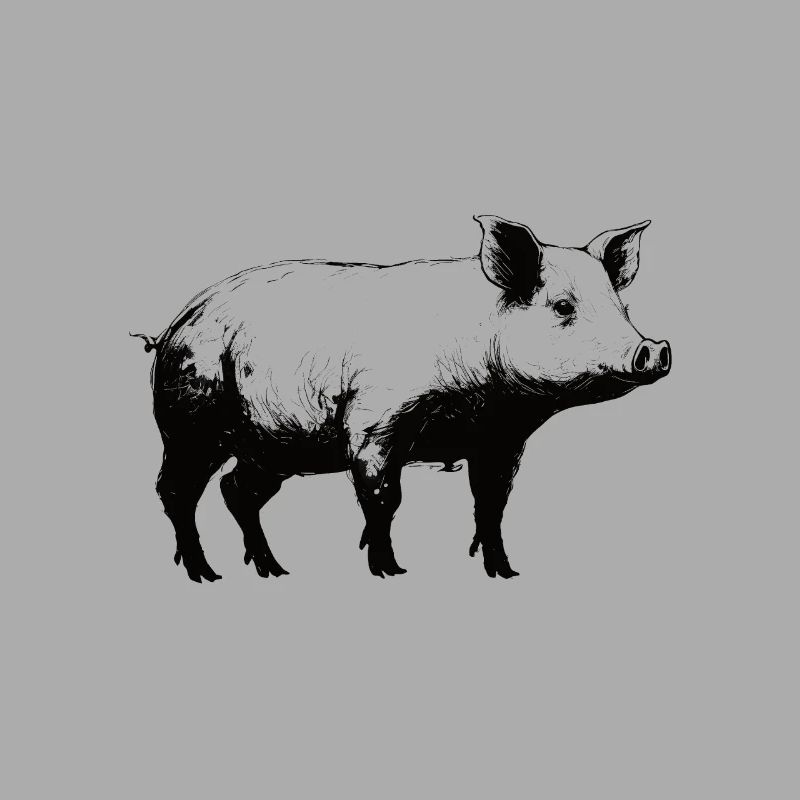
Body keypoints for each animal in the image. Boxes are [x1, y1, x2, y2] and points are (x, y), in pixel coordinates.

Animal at [133, 215, 670, 583]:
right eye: (562, 307)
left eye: (623, 308)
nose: (655, 349)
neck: (486, 398)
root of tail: (173, 328)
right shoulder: (375, 421)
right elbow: (383, 497)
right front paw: (390, 571)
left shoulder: (499, 440)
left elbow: (491, 502)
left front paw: (504, 572)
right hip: (189, 420)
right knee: (175, 489)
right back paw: (205, 575)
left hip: (273, 448)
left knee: (236, 490)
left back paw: (275, 572)